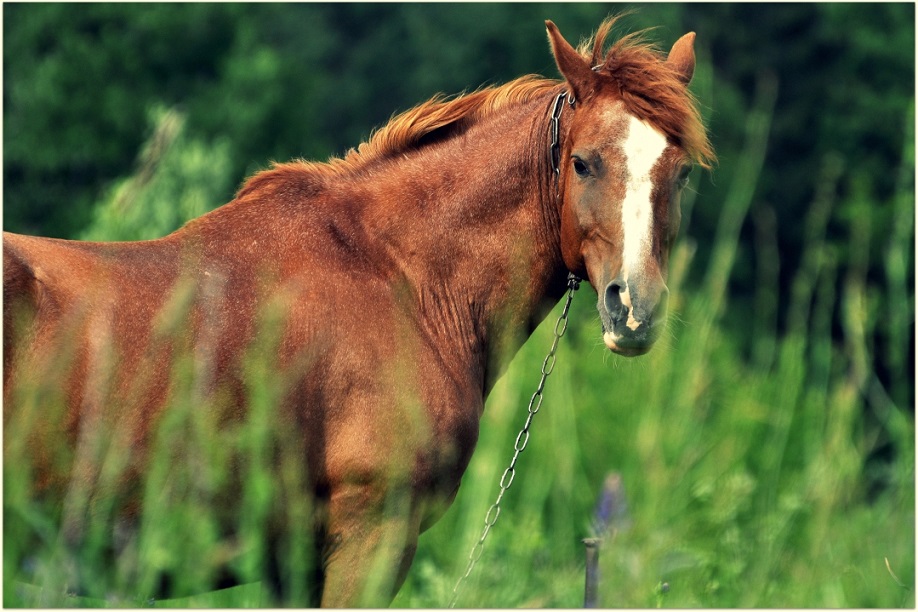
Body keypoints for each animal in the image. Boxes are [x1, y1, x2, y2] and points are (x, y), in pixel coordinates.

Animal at [3, 15, 716, 608]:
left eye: (680, 174)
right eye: (583, 163)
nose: (634, 308)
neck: (393, 274)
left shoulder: (292, 560)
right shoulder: (372, 537)